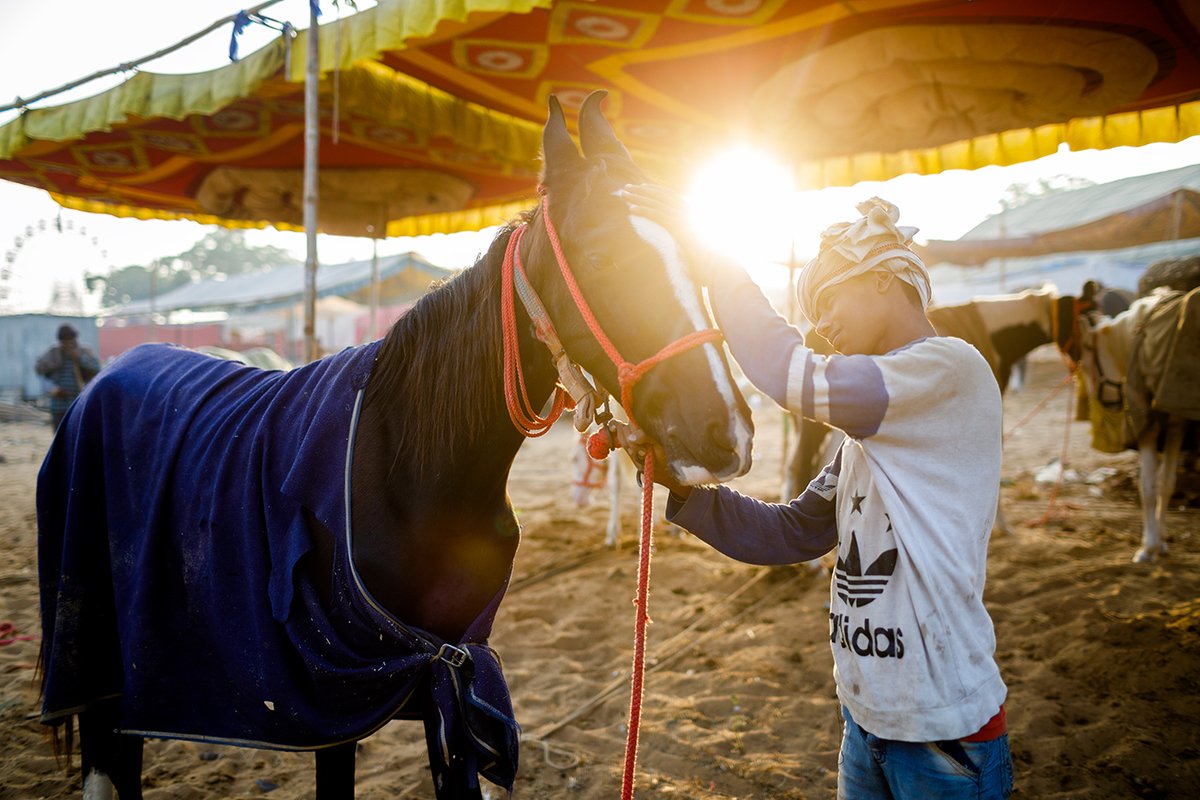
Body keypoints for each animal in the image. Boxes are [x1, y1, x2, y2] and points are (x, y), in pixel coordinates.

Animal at [36, 92, 754, 800]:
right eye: (603, 258)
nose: (727, 433)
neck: (413, 473)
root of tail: (109, 374)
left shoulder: (448, 671)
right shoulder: (332, 698)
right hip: (101, 661)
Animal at [1075, 286, 1200, 562]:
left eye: (1088, 351)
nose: (1093, 397)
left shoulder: (1147, 425)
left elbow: (1149, 487)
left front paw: (1148, 547)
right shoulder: (1175, 422)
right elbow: (1166, 483)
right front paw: (1159, 544)